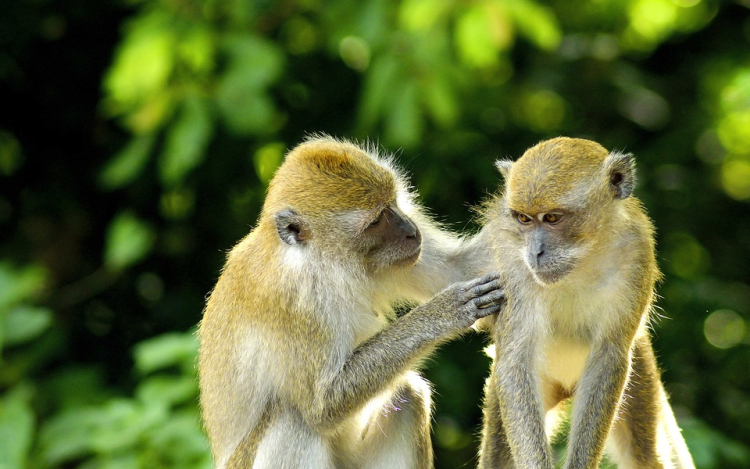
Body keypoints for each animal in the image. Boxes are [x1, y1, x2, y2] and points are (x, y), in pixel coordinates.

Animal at [198, 135, 506, 468]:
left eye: (392, 203)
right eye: (376, 221)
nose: (412, 231)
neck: (322, 262)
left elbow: (459, 267)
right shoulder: (293, 302)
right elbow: (323, 406)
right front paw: (446, 311)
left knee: (407, 395)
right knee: (294, 418)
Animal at [470, 136, 700, 468]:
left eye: (553, 218)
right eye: (524, 219)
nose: (535, 253)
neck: (584, 257)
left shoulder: (637, 252)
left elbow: (608, 356)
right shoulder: (512, 262)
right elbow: (515, 359)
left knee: (647, 453)